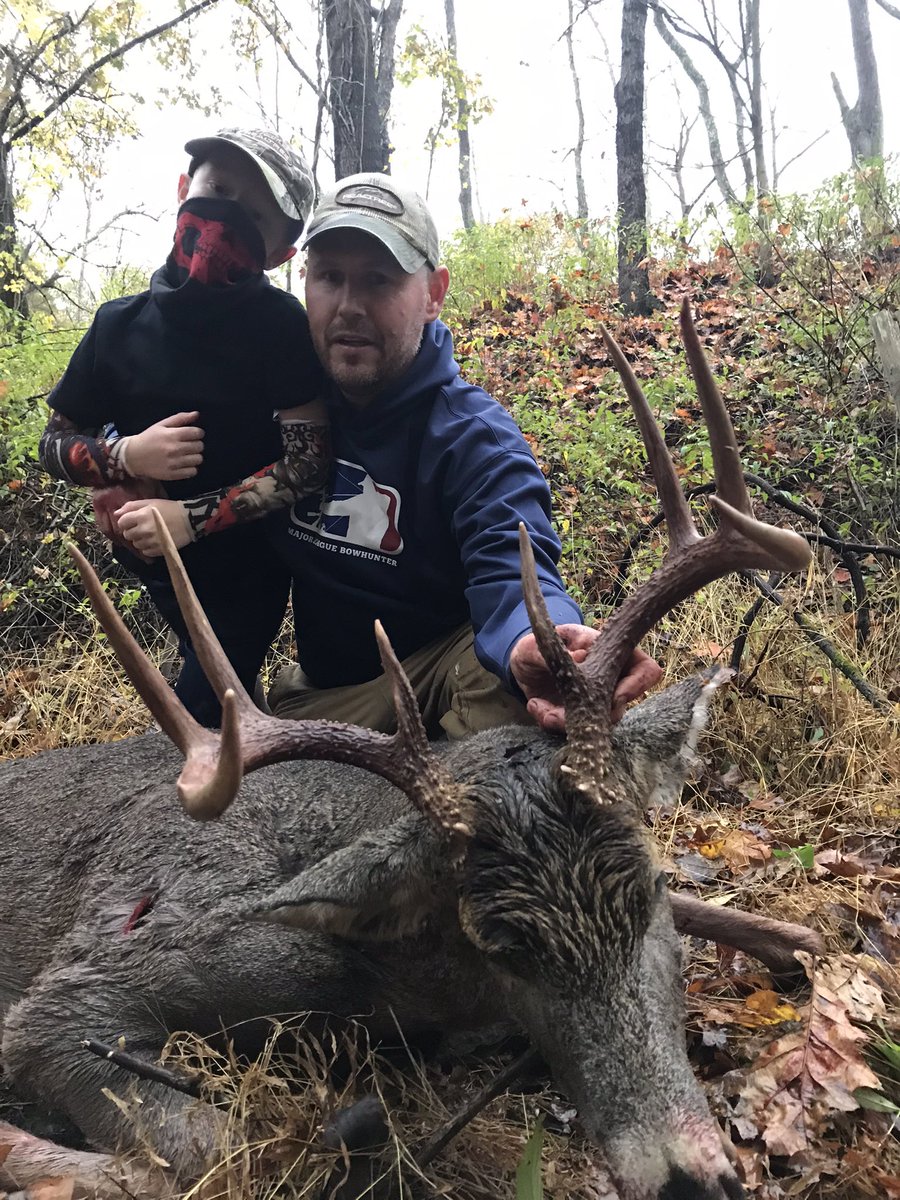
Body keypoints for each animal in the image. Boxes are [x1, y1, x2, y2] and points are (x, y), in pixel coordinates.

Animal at [0, 302, 822, 1200]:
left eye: (649, 891)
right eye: (503, 946)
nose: (687, 1178)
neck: (409, 976)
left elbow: (775, 929)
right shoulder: (91, 980)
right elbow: (225, 1151)